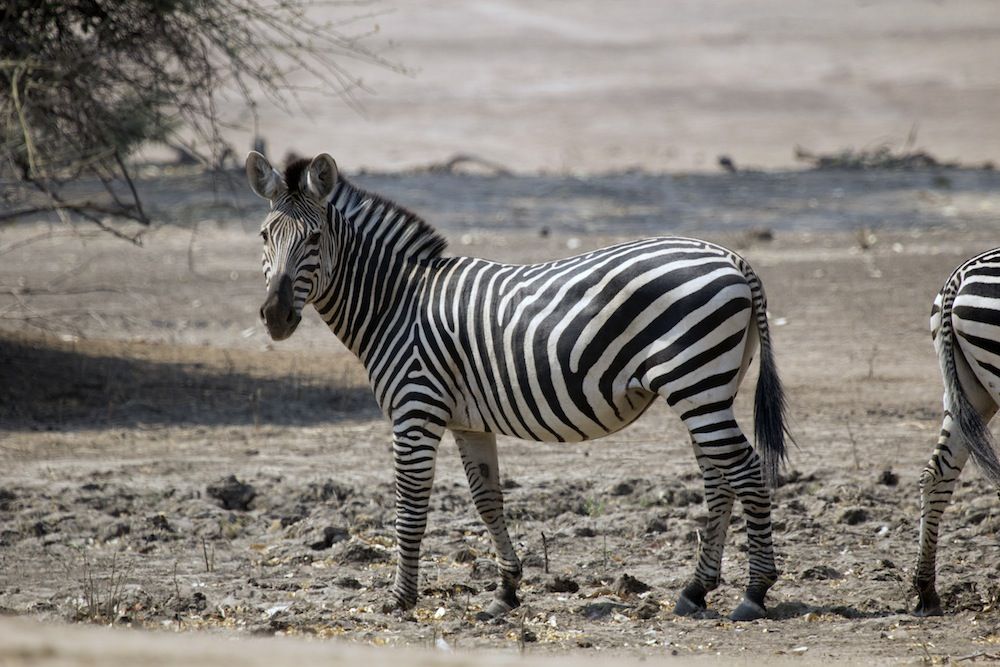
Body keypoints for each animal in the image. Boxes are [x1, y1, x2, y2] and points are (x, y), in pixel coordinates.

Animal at [246, 151, 792, 622]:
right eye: (264, 235)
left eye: (315, 237)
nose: (275, 317)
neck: (396, 303)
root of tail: (734, 259)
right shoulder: (467, 421)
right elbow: (488, 500)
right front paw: (505, 591)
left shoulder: (415, 410)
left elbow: (410, 507)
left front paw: (400, 599)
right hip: (709, 388)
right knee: (719, 479)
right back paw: (695, 590)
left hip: (696, 383)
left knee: (745, 471)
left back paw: (754, 592)